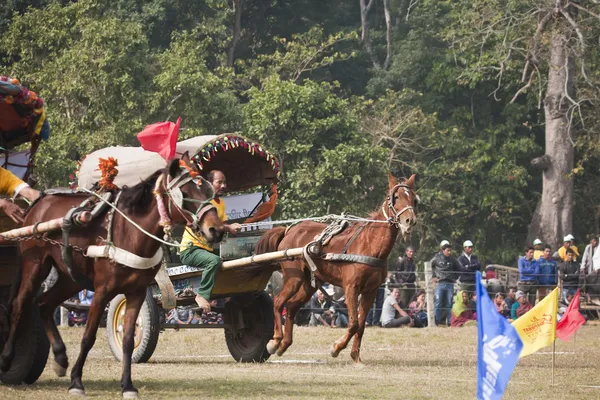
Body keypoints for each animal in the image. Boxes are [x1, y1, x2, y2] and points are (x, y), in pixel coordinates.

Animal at [0, 152, 225, 396]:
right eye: (185, 193)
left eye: (208, 192)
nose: (216, 230)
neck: (130, 233)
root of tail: (39, 203)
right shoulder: (102, 292)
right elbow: (88, 337)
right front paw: (76, 381)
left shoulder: (137, 293)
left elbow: (127, 340)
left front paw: (127, 385)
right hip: (35, 265)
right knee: (19, 305)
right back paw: (7, 358)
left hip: (71, 278)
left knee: (44, 304)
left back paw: (60, 357)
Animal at [254, 173, 418, 364]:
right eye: (396, 197)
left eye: (414, 199)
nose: (409, 220)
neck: (370, 245)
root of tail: (289, 230)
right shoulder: (351, 288)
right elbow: (353, 323)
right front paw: (337, 347)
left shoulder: (370, 291)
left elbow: (361, 325)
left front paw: (356, 357)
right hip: (293, 278)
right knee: (279, 302)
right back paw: (275, 341)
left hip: (309, 283)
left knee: (292, 306)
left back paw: (284, 344)